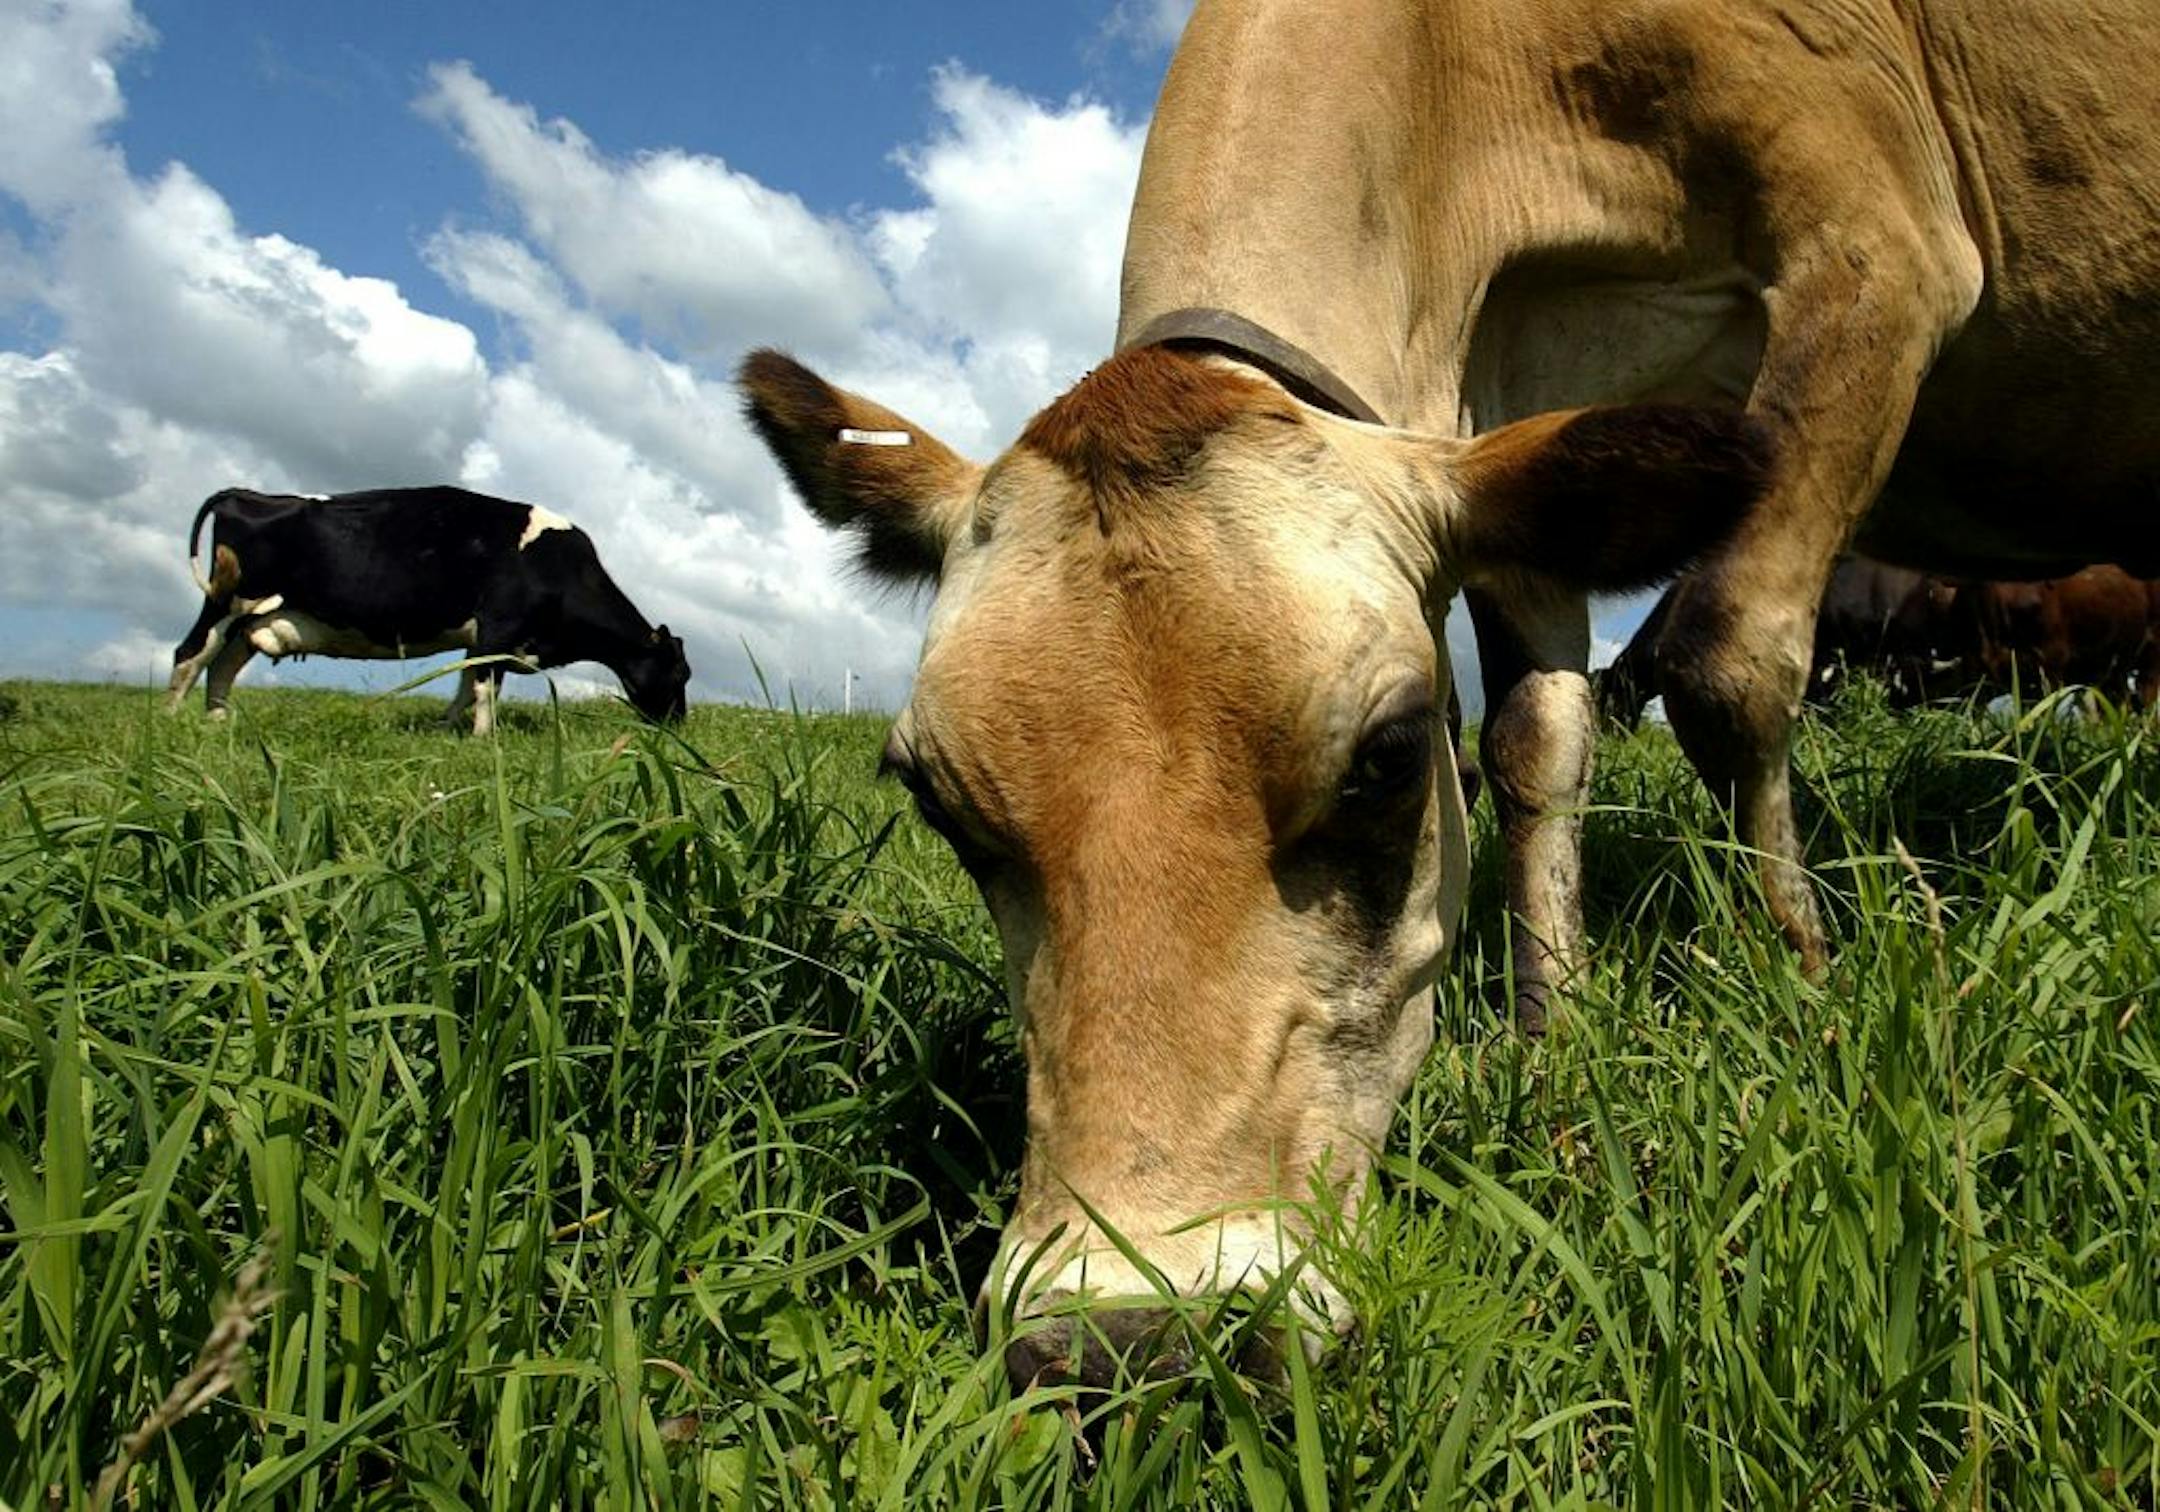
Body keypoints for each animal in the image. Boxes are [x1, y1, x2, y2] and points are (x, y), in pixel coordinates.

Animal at [166, 487, 690, 734]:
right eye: (680, 674)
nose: (679, 724)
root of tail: (245, 494)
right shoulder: (499, 628)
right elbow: (485, 690)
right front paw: (484, 739)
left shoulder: (483, 639)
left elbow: (465, 685)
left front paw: (446, 729)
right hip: (228, 599)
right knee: (190, 654)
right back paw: (170, 718)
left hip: (254, 616)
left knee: (224, 663)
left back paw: (216, 721)